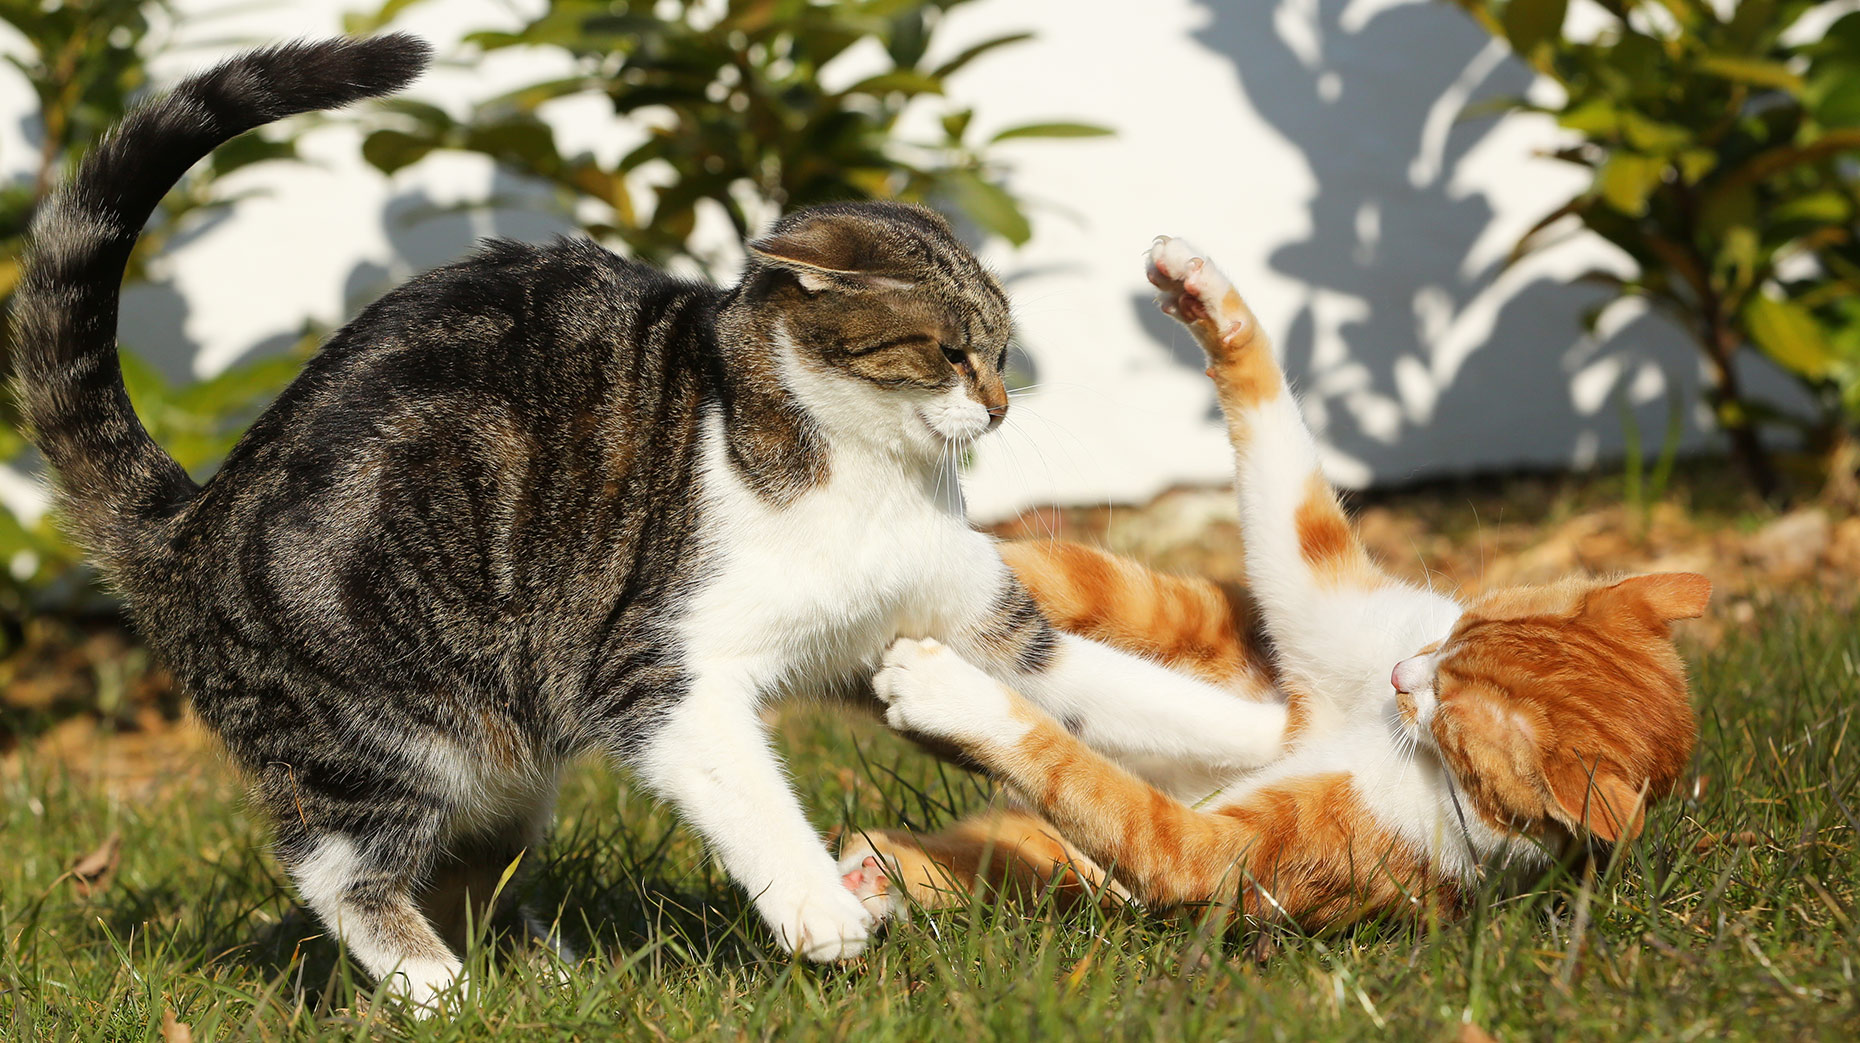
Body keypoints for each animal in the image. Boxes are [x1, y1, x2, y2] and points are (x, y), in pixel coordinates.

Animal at [10, 38, 1294, 1003]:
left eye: (1005, 349)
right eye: (946, 350)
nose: (1000, 404)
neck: (862, 474)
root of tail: (193, 519)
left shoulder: (979, 627)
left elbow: (1137, 698)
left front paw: (1292, 739)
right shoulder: (652, 671)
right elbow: (744, 788)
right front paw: (818, 910)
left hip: (505, 745)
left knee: (468, 859)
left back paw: (544, 974)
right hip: (388, 719)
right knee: (334, 864)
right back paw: (437, 988)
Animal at [837, 239, 1703, 929]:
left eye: (1453, 712)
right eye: (1456, 632)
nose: (1401, 675)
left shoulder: (1221, 854)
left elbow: (1093, 783)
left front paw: (949, 696)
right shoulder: (1315, 583)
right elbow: (1283, 462)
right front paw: (1208, 297)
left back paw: (876, 871)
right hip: (1171, 608)